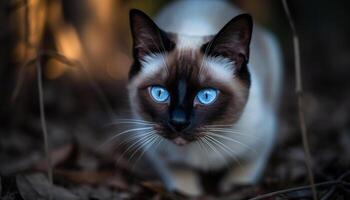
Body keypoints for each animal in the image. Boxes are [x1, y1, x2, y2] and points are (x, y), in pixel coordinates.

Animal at [126, 0, 282, 195]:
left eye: (206, 96)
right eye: (159, 93)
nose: (178, 122)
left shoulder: (260, 144)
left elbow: (241, 176)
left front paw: (231, 189)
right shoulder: (158, 152)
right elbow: (182, 182)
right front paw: (191, 193)